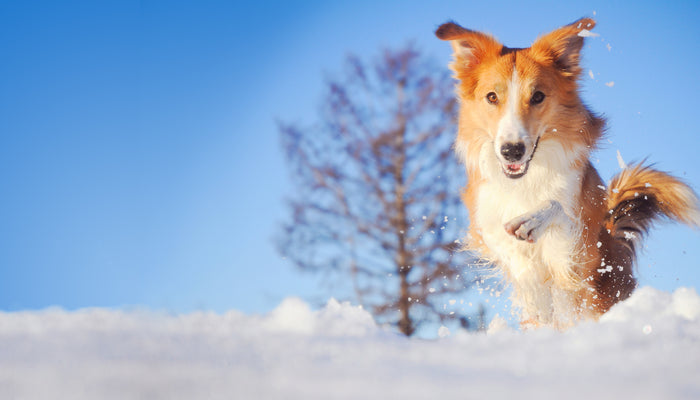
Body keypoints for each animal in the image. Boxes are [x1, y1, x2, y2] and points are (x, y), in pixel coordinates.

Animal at [434, 17, 696, 328]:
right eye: (492, 97)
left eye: (537, 96)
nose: (512, 151)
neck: (524, 182)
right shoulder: (487, 225)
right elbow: (523, 271)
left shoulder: (577, 247)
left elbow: (557, 209)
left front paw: (533, 219)